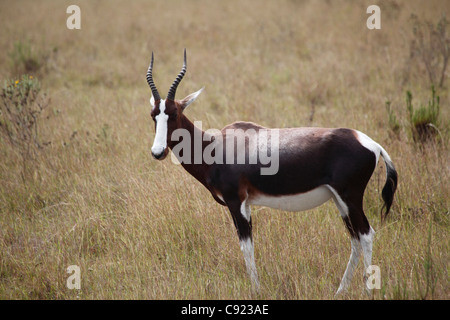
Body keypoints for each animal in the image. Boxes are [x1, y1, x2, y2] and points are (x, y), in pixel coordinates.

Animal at [144, 50, 398, 296]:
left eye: (174, 113)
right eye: (153, 114)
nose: (158, 152)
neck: (216, 145)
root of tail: (372, 144)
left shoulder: (236, 202)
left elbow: (246, 246)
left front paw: (256, 291)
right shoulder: (246, 204)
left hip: (349, 198)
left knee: (366, 235)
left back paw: (366, 291)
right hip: (340, 201)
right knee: (355, 239)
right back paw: (340, 291)